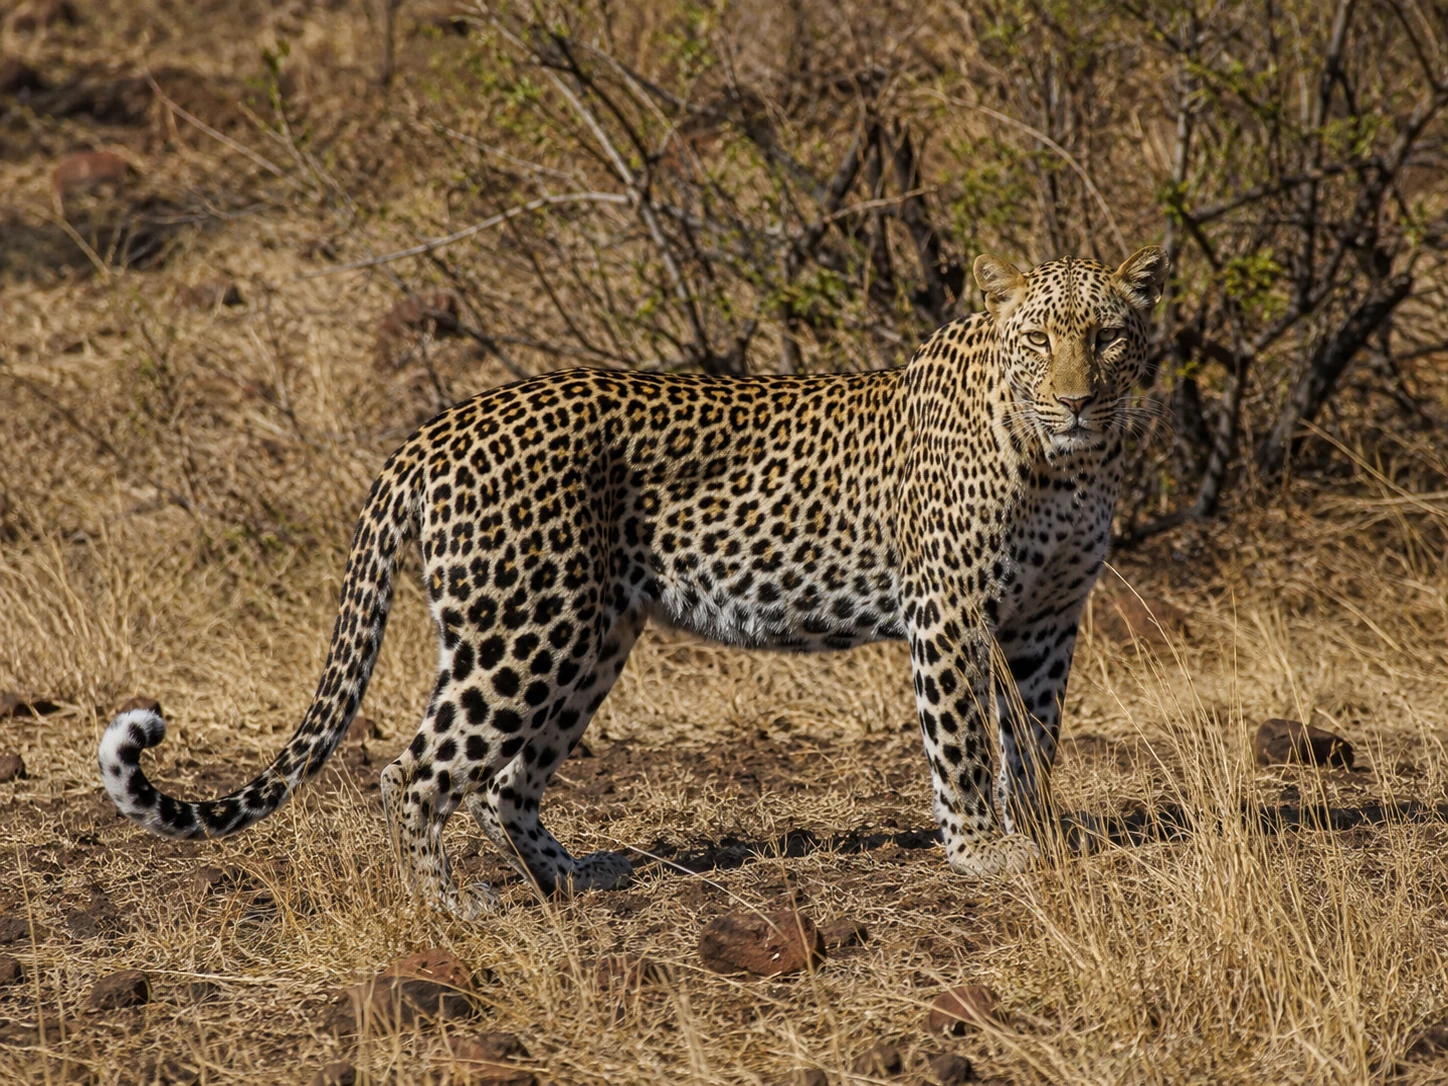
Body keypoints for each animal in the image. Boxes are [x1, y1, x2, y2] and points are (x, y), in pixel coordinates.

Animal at [99, 246, 1169, 918]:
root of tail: (432, 432)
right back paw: (458, 907)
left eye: (1109, 337)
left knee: (503, 781)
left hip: (588, 632)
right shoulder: (948, 614)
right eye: (1041, 340)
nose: (1079, 399)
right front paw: (983, 851)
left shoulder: (1047, 621)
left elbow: (1034, 738)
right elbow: (965, 746)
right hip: (524, 632)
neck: (1068, 465)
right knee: (418, 768)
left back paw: (576, 879)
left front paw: (1041, 833)